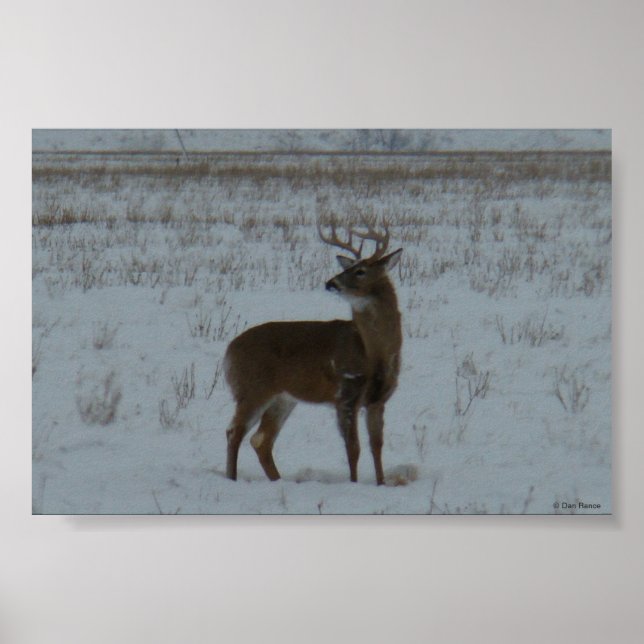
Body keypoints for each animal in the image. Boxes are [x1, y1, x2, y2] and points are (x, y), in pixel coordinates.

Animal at [223, 222, 402, 485]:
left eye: (360, 271)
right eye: (347, 268)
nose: (331, 283)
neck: (372, 352)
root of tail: (228, 352)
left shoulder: (378, 399)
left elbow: (376, 446)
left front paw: (381, 484)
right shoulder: (346, 393)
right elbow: (353, 449)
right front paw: (353, 483)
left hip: (283, 398)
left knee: (261, 440)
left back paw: (277, 480)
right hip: (252, 388)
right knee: (234, 432)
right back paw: (232, 479)